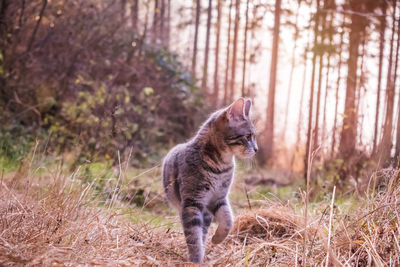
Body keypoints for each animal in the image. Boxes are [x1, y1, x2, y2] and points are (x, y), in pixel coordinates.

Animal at [162, 98, 260, 264]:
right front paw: (195, 259)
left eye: (253, 136)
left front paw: (217, 239)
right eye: (248, 136)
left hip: (206, 213)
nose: (257, 149)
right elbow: (193, 236)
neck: (220, 166)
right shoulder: (192, 202)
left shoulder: (218, 198)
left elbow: (228, 220)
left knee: (204, 229)